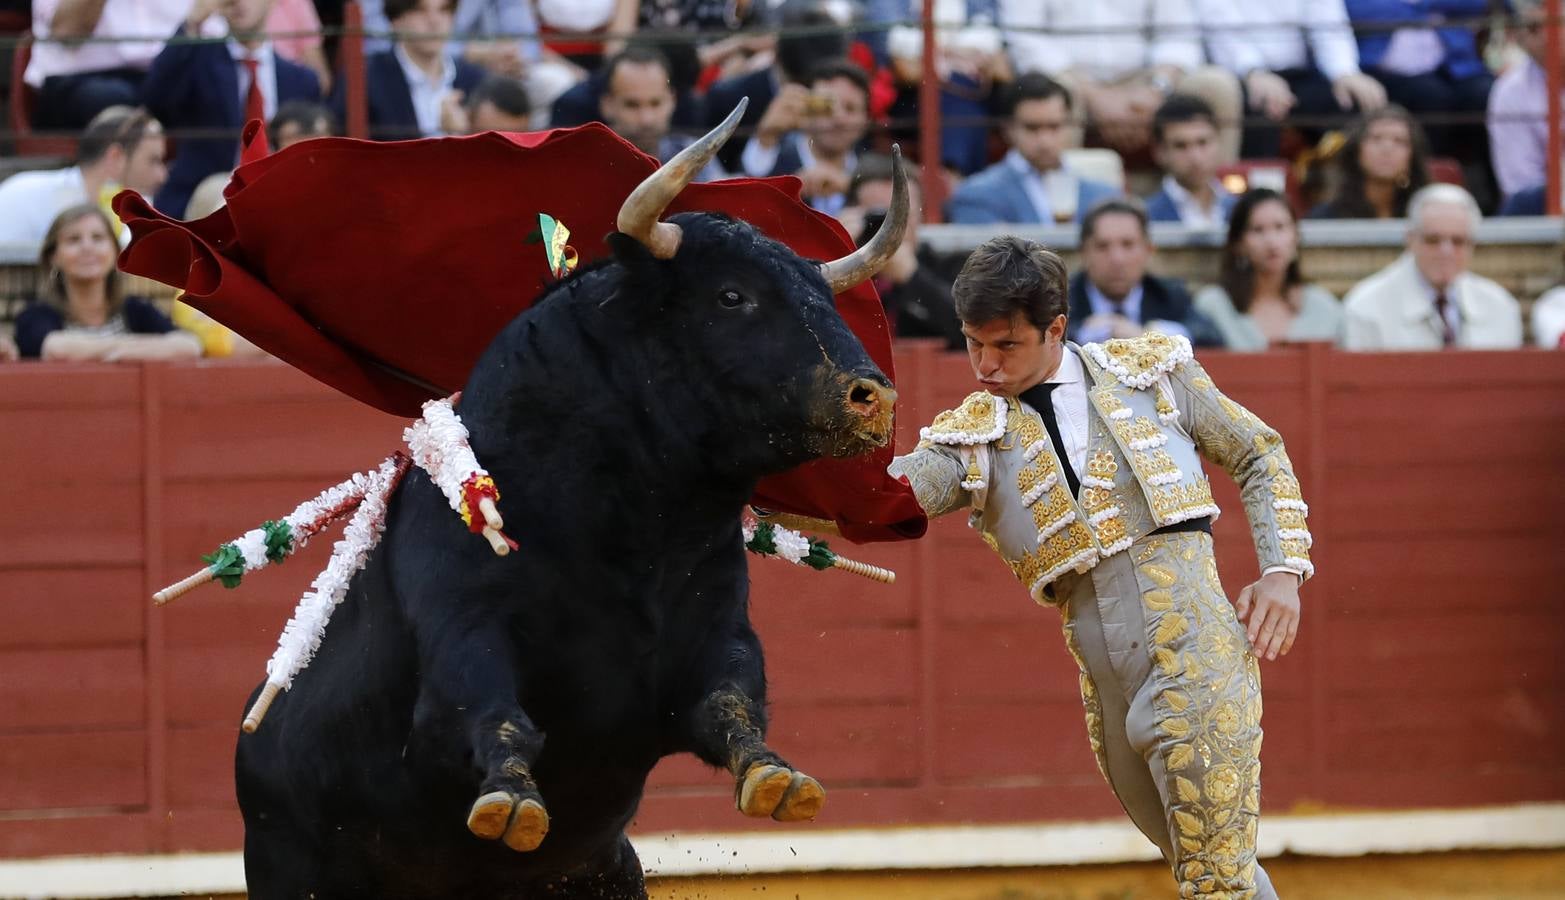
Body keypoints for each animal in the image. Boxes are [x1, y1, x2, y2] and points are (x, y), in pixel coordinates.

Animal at [236, 140, 913, 900]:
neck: (629, 531)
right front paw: (512, 803)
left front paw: (777, 777)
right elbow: (488, 709)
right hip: (290, 871)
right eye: (731, 295)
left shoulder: (716, 633)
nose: (873, 397)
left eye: (823, 297)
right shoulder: (462, 633)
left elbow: (731, 701)